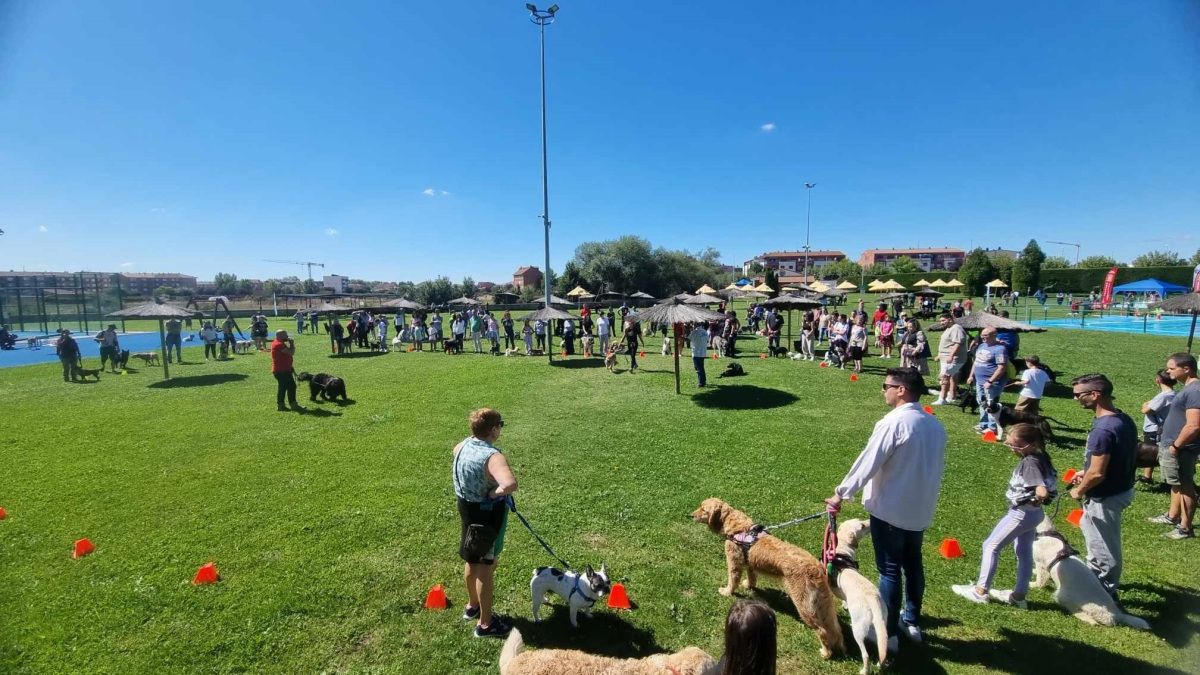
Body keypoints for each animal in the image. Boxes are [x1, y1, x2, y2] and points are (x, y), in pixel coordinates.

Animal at [691, 494, 849, 658]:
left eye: (703, 509)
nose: (691, 515)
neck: (738, 526)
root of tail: (816, 567)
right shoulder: (750, 564)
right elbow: (752, 578)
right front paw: (748, 585)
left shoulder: (734, 563)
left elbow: (732, 580)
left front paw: (727, 592)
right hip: (823, 606)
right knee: (836, 629)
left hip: (805, 606)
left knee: (822, 630)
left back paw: (826, 652)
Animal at [835, 516, 892, 667]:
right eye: (861, 525)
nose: (871, 521)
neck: (841, 549)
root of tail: (873, 597)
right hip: (880, 623)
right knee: (882, 647)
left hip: (858, 627)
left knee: (865, 655)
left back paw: (864, 670)